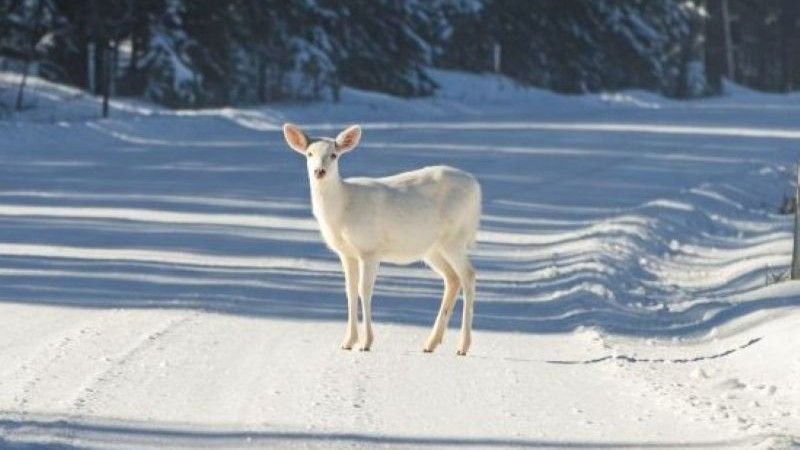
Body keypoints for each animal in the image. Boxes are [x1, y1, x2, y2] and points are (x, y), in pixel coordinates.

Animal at [282, 123, 482, 356]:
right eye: (309, 153)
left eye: (333, 154)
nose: (319, 171)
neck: (342, 209)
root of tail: (477, 187)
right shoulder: (346, 253)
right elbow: (350, 290)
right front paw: (348, 341)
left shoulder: (369, 248)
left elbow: (364, 290)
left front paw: (366, 342)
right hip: (432, 248)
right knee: (452, 278)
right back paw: (431, 343)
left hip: (455, 236)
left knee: (468, 275)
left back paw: (463, 346)